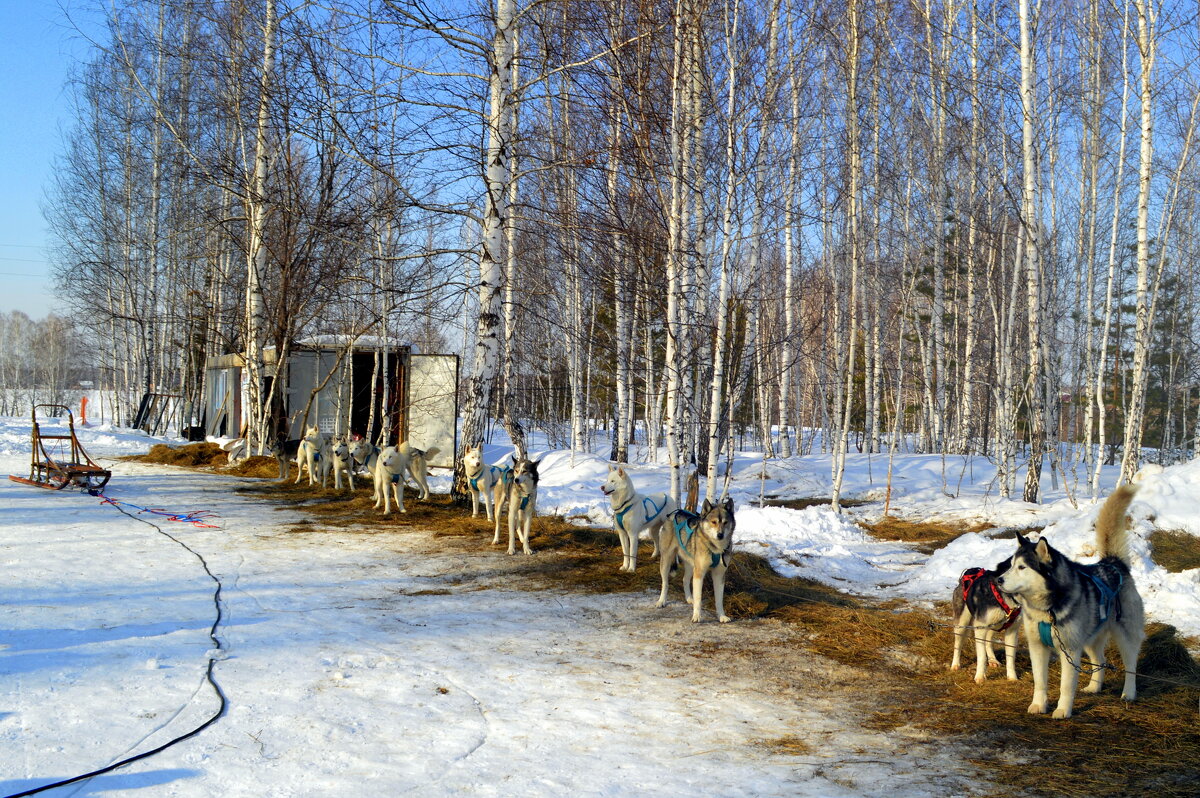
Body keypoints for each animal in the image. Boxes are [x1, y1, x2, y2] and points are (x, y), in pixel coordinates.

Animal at [993, 482, 1142, 720]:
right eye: (1011, 565)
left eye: (1022, 567)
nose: (998, 580)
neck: (1047, 610)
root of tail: (1113, 563)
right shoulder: (1038, 647)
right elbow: (1040, 682)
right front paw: (1038, 705)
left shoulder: (1069, 650)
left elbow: (1065, 685)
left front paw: (1062, 710)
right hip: (1090, 638)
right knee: (1100, 661)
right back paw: (1094, 687)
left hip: (1125, 635)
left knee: (1130, 665)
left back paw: (1128, 693)